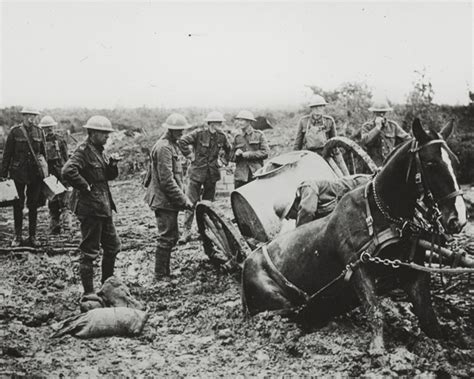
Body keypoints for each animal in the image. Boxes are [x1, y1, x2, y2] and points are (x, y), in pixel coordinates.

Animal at [241, 119, 466, 356]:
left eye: (456, 162)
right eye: (431, 163)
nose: (458, 218)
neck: (381, 214)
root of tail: (247, 262)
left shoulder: (414, 273)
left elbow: (430, 319)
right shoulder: (358, 268)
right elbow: (375, 310)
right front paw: (377, 350)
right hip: (277, 303)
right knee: (282, 313)